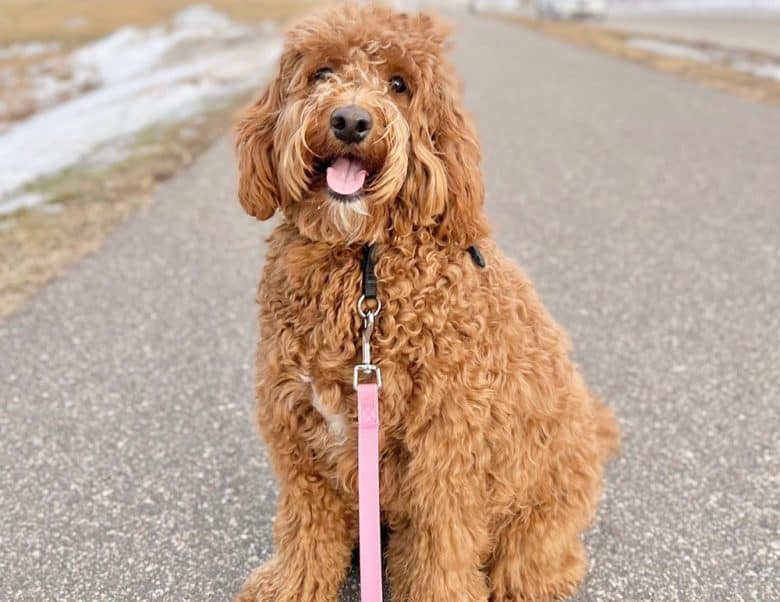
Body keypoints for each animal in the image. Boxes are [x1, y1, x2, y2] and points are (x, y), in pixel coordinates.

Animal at [235, 4, 620, 600]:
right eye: (322, 72)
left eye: (399, 84)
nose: (350, 121)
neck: (362, 271)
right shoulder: (298, 430)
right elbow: (307, 524)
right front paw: (292, 585)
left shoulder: (445, 447)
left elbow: (441, 549)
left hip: (537, 512)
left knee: (536, 561)